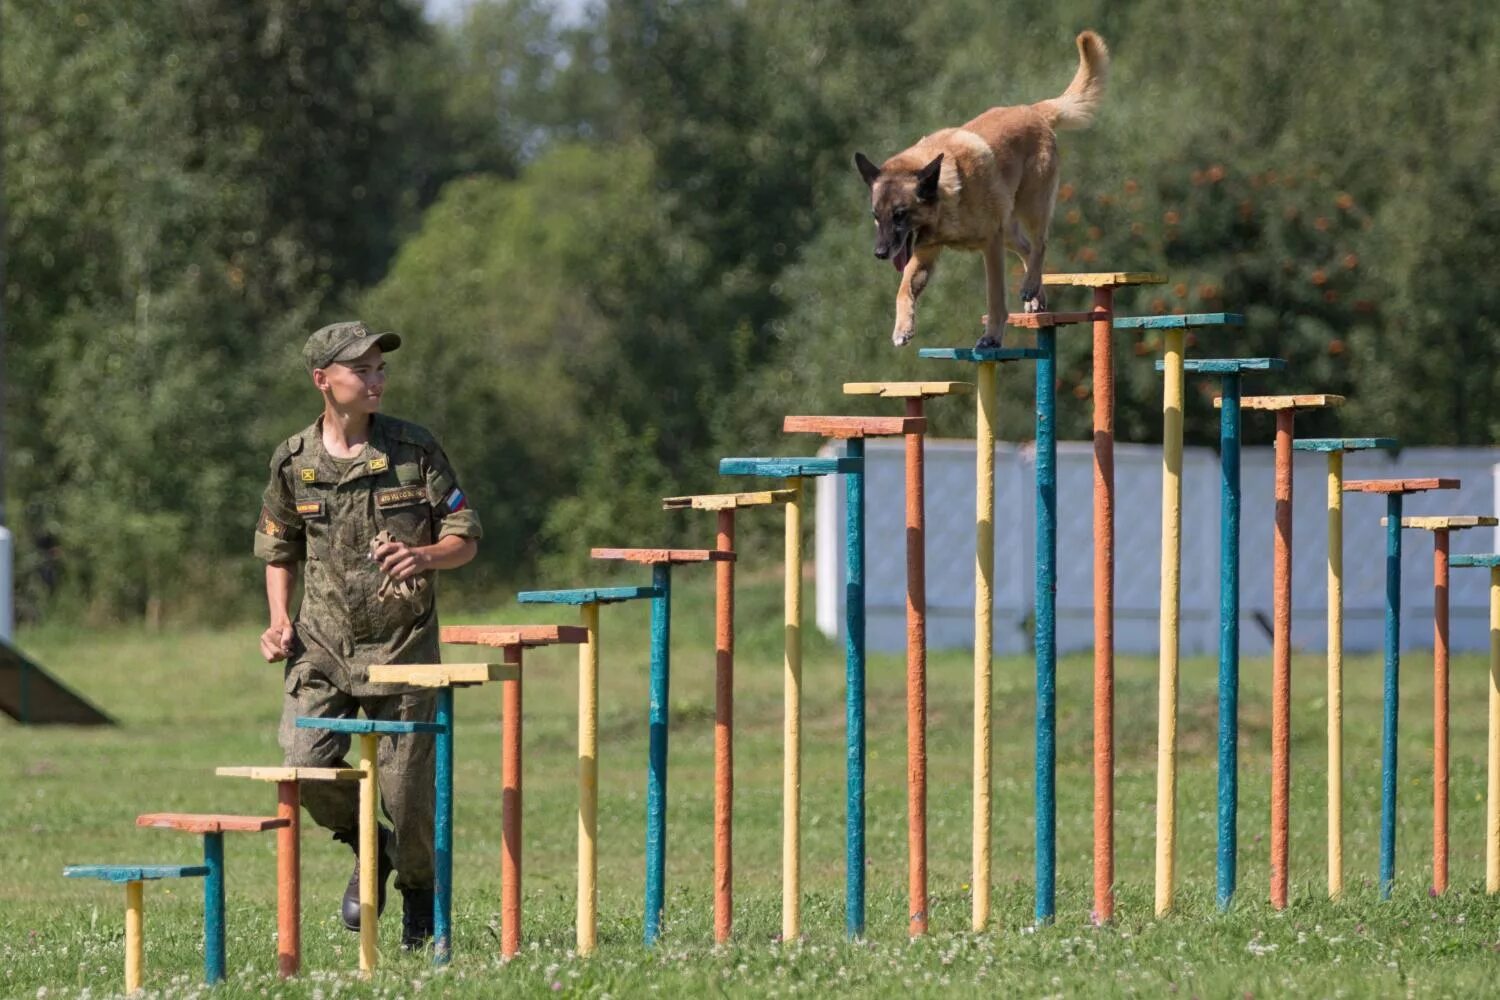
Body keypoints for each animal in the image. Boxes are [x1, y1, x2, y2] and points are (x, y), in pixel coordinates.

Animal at [858, 29, 1104, 347]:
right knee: (1027, 249)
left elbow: (995, 297)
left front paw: (992, 336)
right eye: (877, 217)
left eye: (900, 214)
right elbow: (904, 290)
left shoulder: (990, 244)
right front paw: (902, 328)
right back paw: (1034, 295)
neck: (946, 196)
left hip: (1031, 206)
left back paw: (1030, 286)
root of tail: (1032, 110)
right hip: (1009, 228)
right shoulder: (924, 254)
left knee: (1040, 243)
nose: (879, 253)